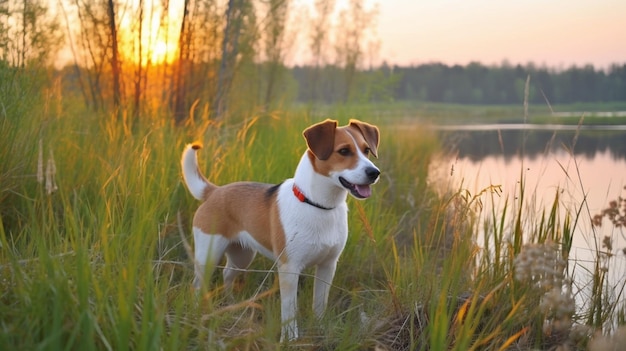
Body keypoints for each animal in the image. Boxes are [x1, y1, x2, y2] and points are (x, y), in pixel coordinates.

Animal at [180, 118, 380, 340]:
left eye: (367, 150)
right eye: (344, 151)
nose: (374, 173)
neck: (317, 205)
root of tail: (215, 191)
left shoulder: (327, 266)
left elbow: (320, 304)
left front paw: (319, 329)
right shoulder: (289, 269)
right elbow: (290, 311)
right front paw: (290, 339)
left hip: (242, 256)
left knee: (227, 274)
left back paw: (230, 304)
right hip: (208, 256)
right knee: (197, 285)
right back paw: (197, 313)